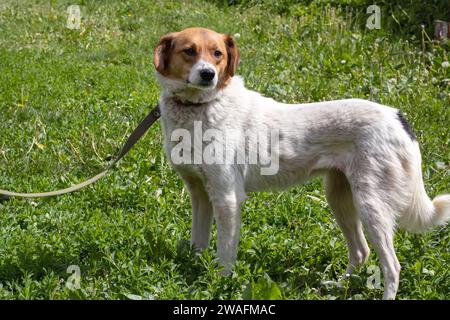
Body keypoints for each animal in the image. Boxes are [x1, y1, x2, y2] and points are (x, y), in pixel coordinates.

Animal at [153, 27, 448, 300]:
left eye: (218, 54)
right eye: (189, 51)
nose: (208, 75)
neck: (199, 107)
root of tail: (398, 117)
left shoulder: (227, 198)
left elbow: (225, 255)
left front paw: (219, 285)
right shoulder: (200, 194)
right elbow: (198, 244)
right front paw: (194, 273)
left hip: (371, 205)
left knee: (392, 266)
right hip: (340, 198)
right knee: (361, 251)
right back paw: (337, 286)